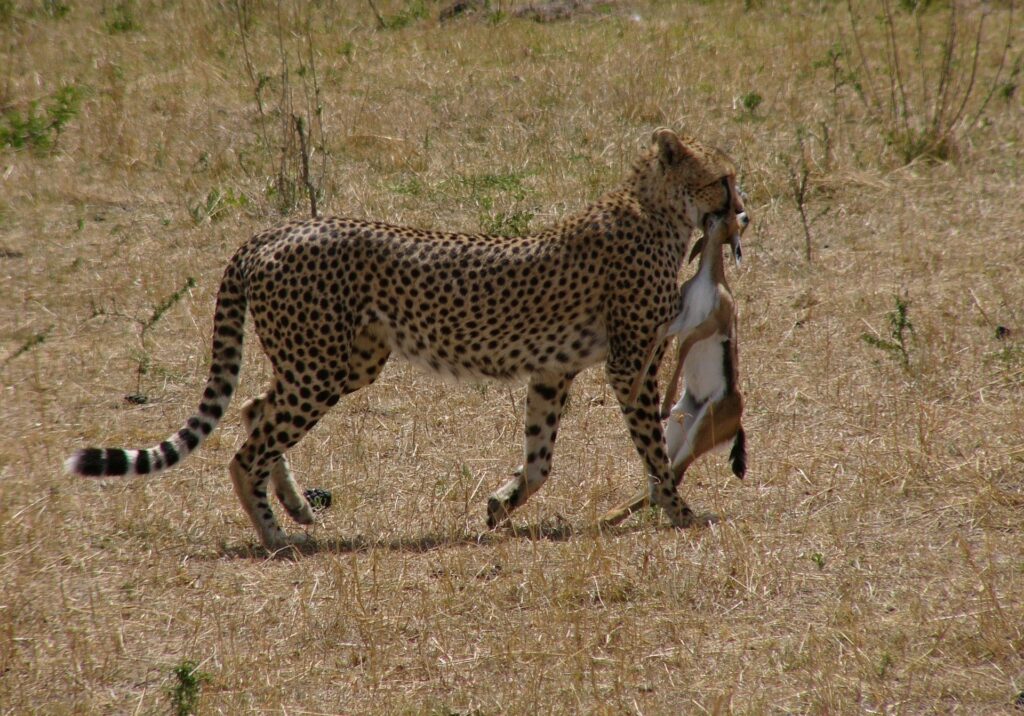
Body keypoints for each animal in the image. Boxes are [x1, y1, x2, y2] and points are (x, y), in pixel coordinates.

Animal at [65, 127, 749, 550]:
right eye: (724, 179)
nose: (743, 213)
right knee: (246, 449)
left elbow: (540, 459)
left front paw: (500, 505)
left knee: (256, 409)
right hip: (322, 367)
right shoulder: (630, 365)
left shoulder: (552, 371)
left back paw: (296, 507)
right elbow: (654, 451)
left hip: (343, 362)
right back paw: (276, 537)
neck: (657, 211)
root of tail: (276, 230)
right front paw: (680, 513)